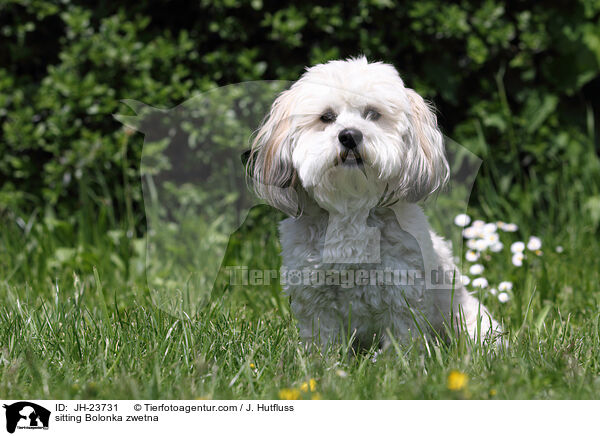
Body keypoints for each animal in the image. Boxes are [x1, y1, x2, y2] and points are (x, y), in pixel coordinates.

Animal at [246, 57, 500, 350]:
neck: (351, 208)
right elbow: (322, 342)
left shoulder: (402, 293)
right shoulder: (314, 298)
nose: (349, 135)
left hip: (472, 320)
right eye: (326, 117)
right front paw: (321, 361)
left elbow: (401, 342)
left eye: (373, 114)